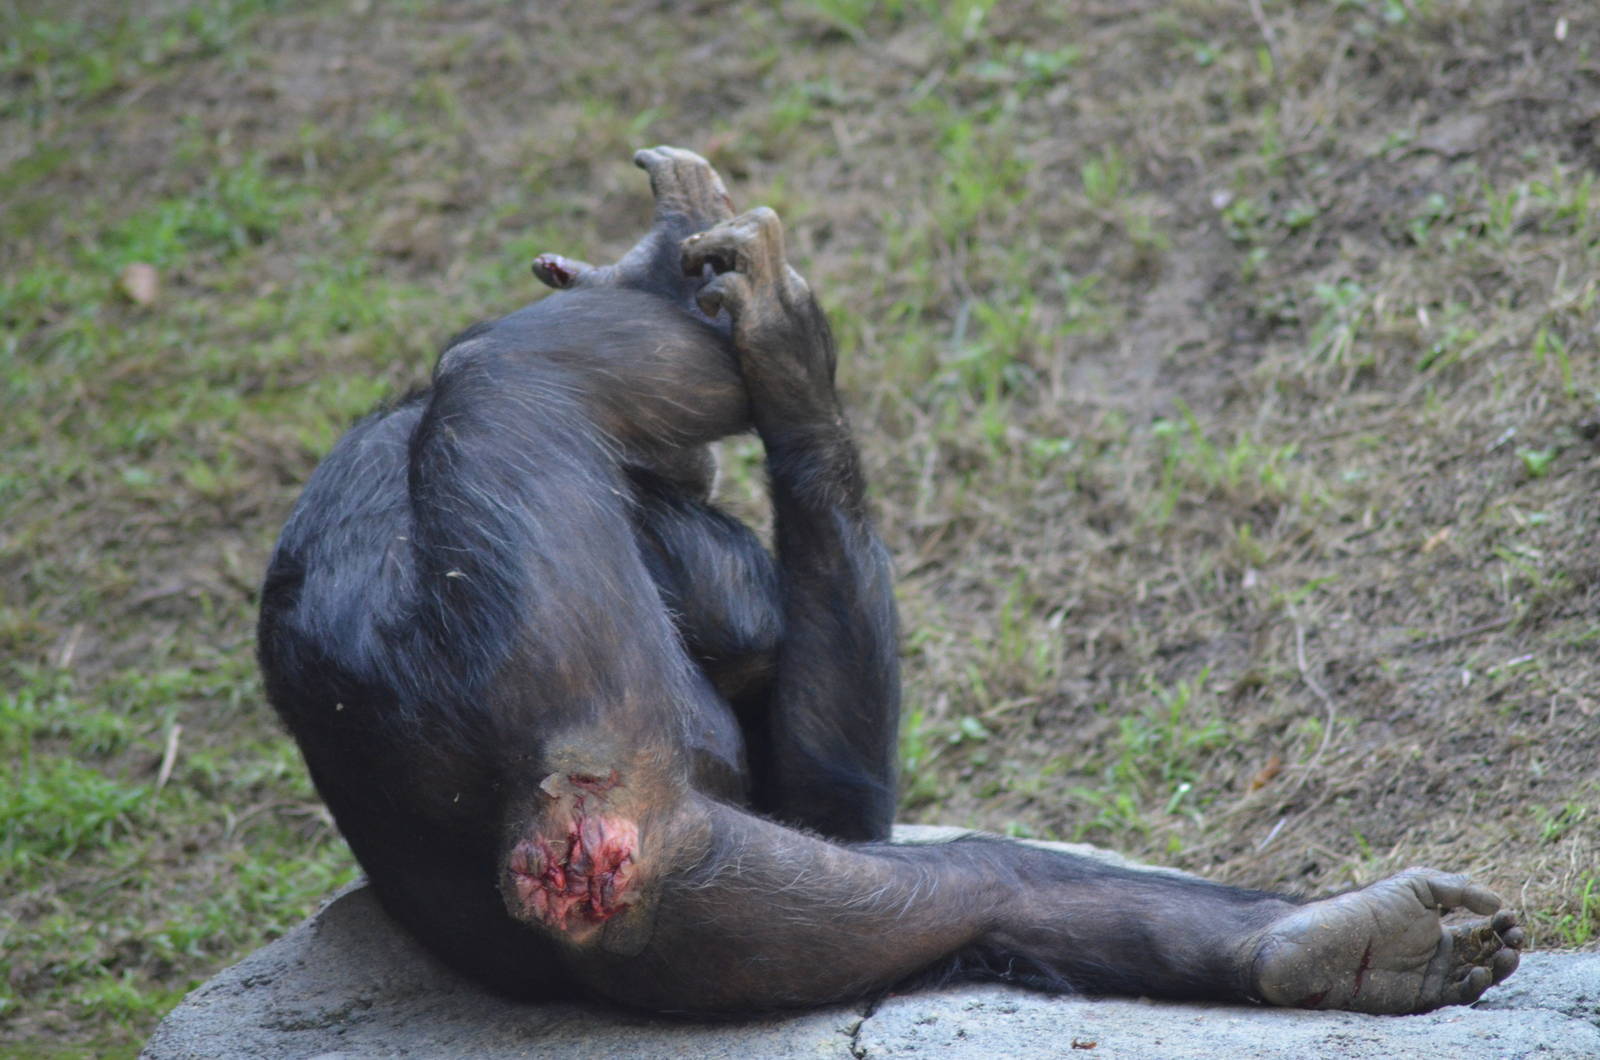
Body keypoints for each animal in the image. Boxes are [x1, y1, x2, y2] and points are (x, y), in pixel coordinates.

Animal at [257, 146, 1522, 1015]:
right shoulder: (684, 546)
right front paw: (779, 350)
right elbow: (802, 720)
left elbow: (825, 802)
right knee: (512, 367)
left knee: (976, 894)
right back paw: (683, 271)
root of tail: (565, 840)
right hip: (584, 658)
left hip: (700, 916)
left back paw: (1352, 948)